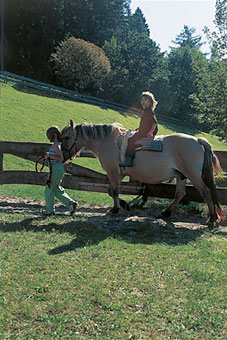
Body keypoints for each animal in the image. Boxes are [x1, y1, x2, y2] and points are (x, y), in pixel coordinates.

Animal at [60, 119, 225, 228]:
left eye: (66, 137)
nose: (62, 156)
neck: (109, 141)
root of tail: (197, 140)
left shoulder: (113, 172)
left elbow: (114, 191)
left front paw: (115, 209)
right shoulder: (118, 174)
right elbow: (112, 191)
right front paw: (125, 205)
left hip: (193, 176)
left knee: (205, 192)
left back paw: (212, 219)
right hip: (181, 176)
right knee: (180, 194)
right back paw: (165, 213)